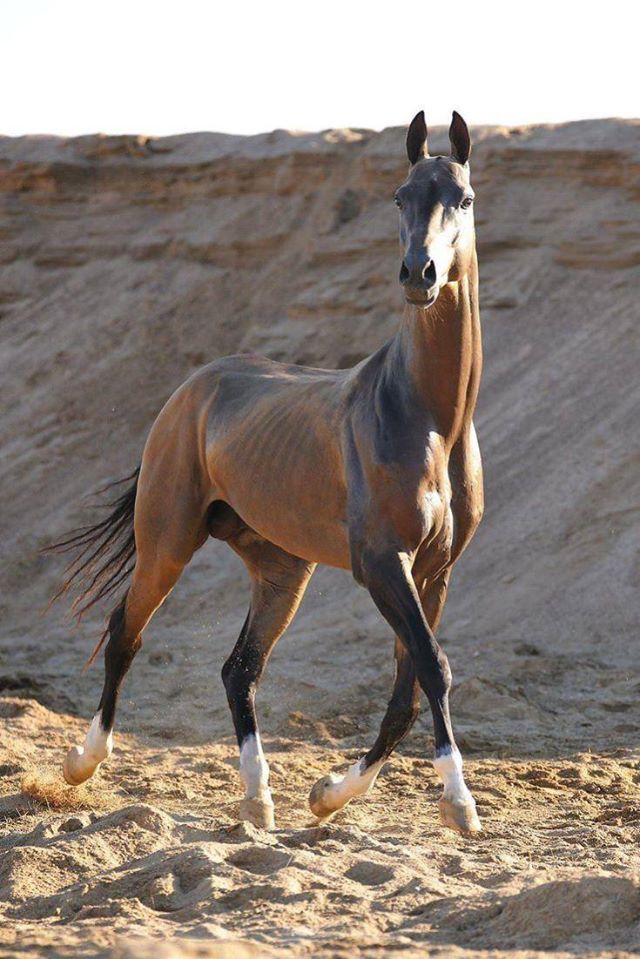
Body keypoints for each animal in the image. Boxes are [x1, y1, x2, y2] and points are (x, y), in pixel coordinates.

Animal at [52, 110, 484, 832]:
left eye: (464, 198)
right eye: (399, 196)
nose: (419, 273)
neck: (427, 415)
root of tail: (191, 389)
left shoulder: (435, 570)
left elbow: (408, 692)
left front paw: (329, 794)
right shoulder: (382, 563)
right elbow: (433, 665)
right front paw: (459, 803)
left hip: (283, 569)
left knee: (239, 669)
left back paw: (259, 799)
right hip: (167, 543)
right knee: (124, 634)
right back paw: (82, 764)